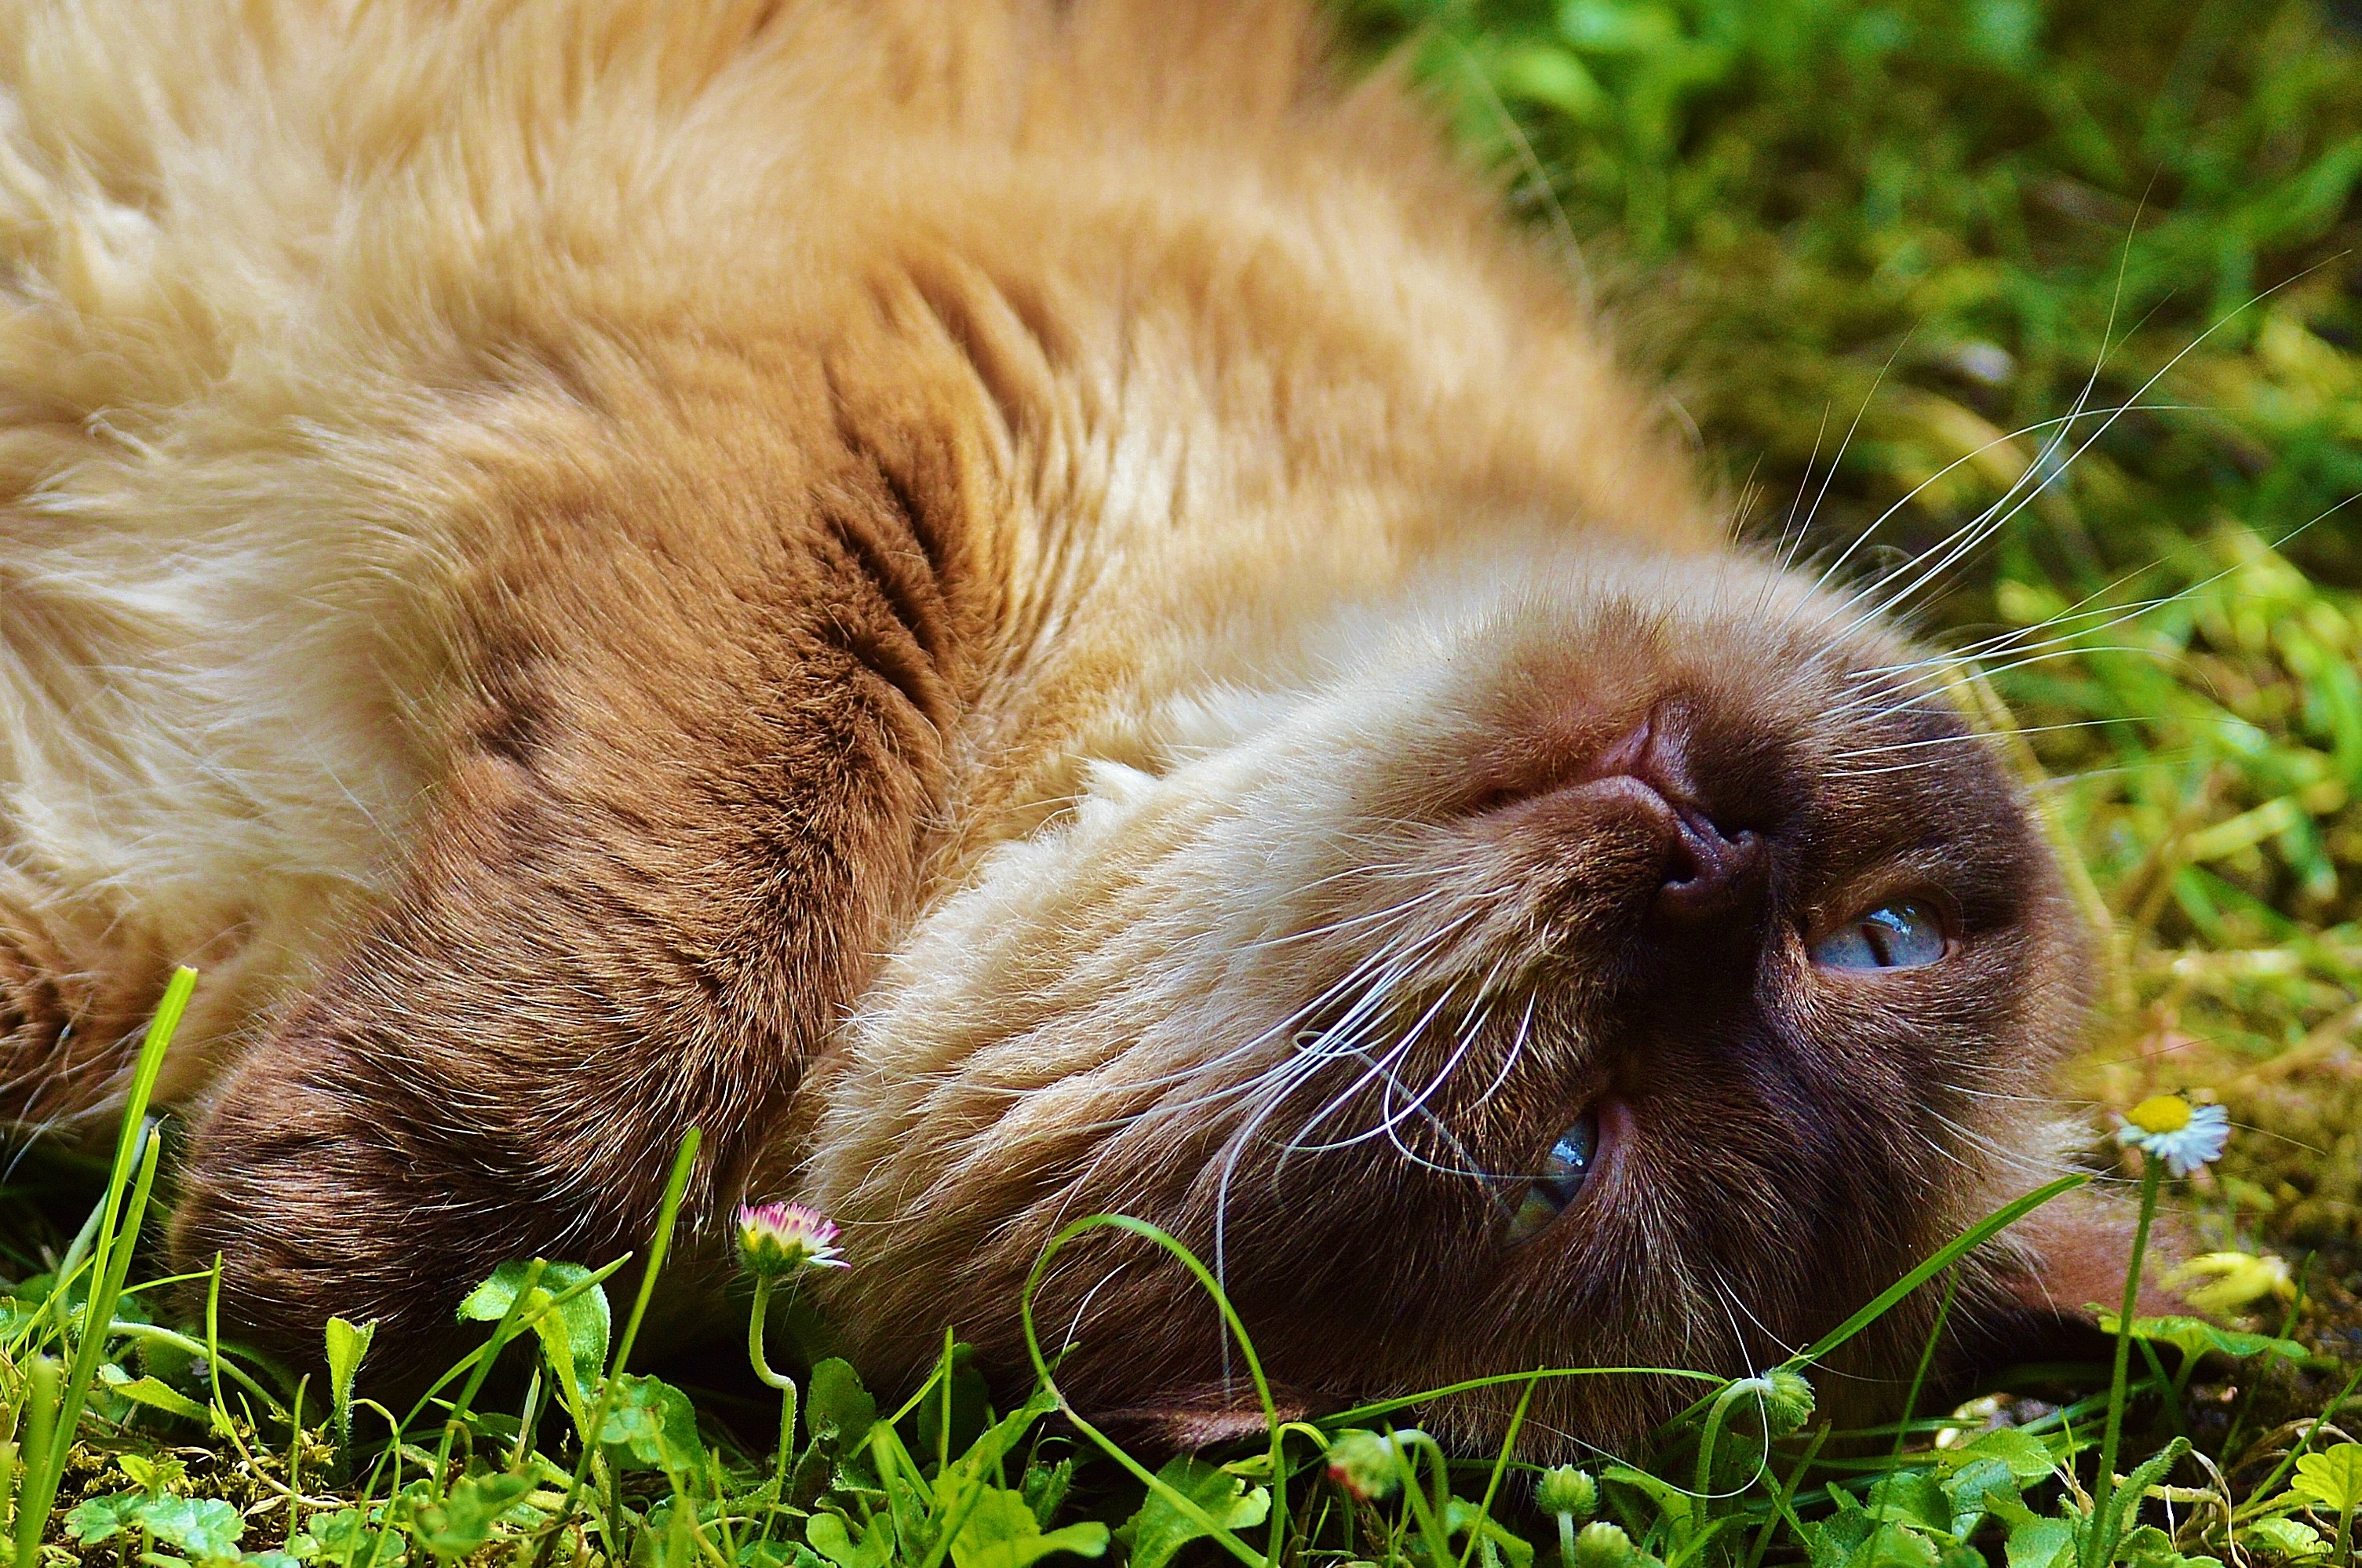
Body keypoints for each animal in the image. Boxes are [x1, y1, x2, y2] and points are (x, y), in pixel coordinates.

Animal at [0, 0, 2145, 1454]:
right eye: (1875, 941)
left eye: (1564, 1156)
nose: (1712, 858)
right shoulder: (865, 408)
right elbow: (704, 923)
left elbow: (604, 1073)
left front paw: (301, 1254)